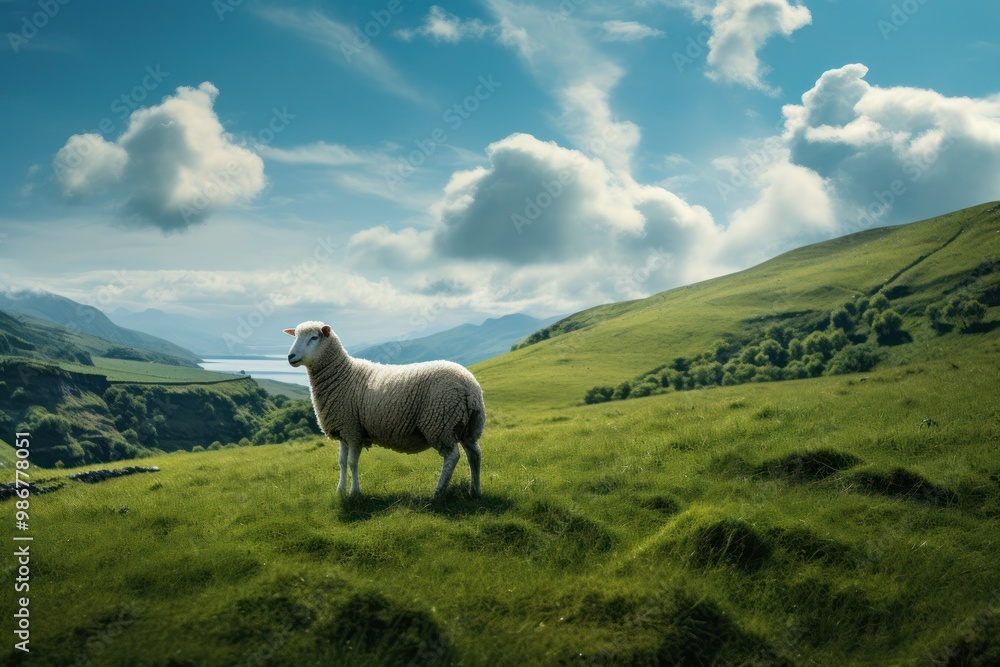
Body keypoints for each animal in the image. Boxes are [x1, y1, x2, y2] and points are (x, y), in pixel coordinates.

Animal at [284, 321, 485, 499]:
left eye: (314, 337)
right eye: (295, 336)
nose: (290, 357)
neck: (342, 375)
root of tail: (470, 386)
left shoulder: (353, 430)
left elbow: (352, 463)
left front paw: (355, 493)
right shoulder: (343, 430)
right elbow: (341, 463)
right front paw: (340, 491)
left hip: (440, 420)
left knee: (452, 456)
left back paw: (439, 492)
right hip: (466, 425)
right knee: (474, 453)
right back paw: (474, 490)